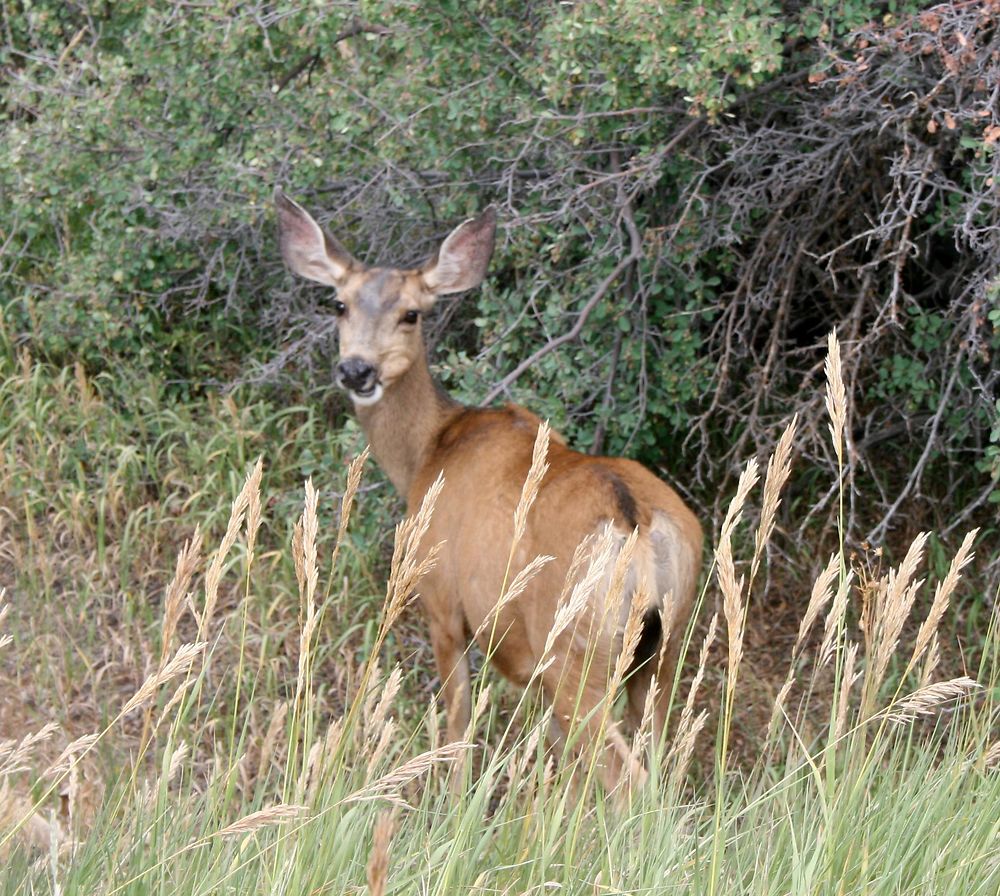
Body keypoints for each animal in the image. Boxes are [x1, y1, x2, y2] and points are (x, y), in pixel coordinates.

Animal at [274, 191, 704, 792]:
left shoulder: (441, 601)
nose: (356, 369)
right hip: (661, 648)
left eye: (412, 312)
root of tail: (636, 522)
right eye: (339, 304)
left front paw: (452, 803)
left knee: (627, 778)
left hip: (573, 650)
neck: (429, 450)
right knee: (660, 767)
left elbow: (457, 726)